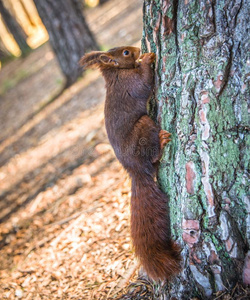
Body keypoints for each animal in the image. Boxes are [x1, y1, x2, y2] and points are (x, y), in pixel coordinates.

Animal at [81, 45, 181, 280]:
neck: (117, 73)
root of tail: (136, 170)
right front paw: (146, 59)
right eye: (126, 53)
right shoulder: (131, 84)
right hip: (143, 127)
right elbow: (144, 82)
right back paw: (161, 143)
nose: (137, 49)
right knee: (152, 157)